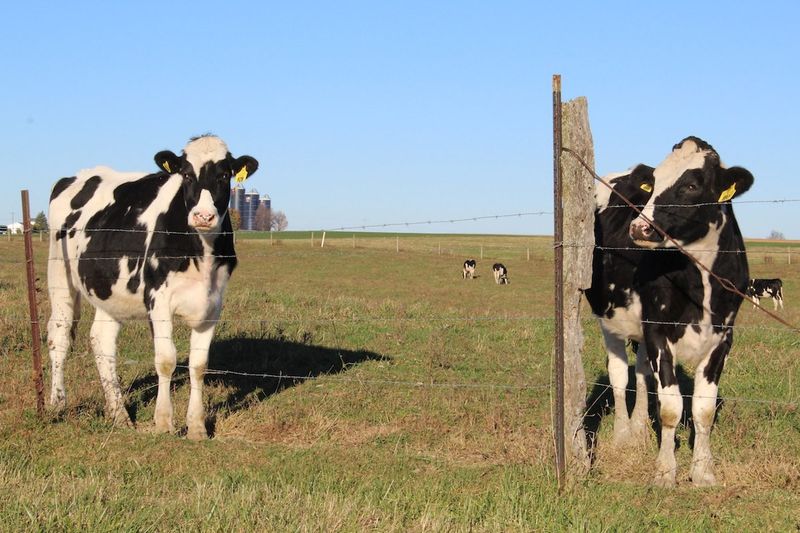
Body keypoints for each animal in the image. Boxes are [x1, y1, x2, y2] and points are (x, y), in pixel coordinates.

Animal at [46, 134, 258, 440]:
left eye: (224, 175)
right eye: (186, 174)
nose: (203, 216)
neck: (201, 252)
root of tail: (75, 176)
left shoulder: (213, 304)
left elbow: (198, 365)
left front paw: (197, 427)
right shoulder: (158, 299)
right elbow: (166, 359)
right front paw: (164, 422)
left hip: (108, 291)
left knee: (102, 340)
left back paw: (119, 415)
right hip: (59, 275)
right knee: (59, 336)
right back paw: (57, 404)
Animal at [628, 136, 754, 487]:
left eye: (691, 185)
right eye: (655, 181)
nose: (639, 228)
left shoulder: (723, 338)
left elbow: (703, 410)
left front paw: (703, 471)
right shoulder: (657, 330)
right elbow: (670, 407)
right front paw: (664, 471)